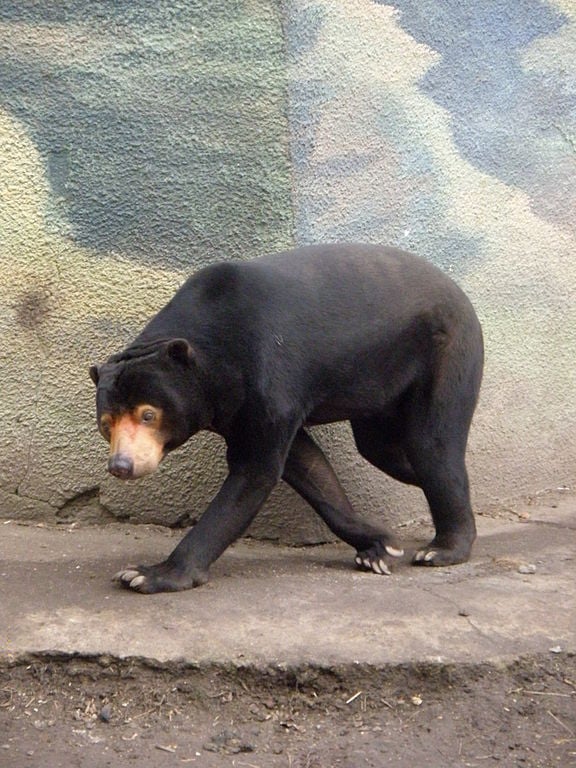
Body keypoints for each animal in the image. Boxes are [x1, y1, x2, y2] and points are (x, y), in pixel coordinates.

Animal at [89, 243, 483, 594]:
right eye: (106, 424)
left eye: (148, 414)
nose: (121, 466)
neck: (214, 360)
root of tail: (460, 293)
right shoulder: (237, 408)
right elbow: (307, 466)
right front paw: (379, 546)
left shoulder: (269, 377)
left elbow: (255, 471)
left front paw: (148, 575)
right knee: (383, 450)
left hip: (447, 354)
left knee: (431, 447)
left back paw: (443, 548)